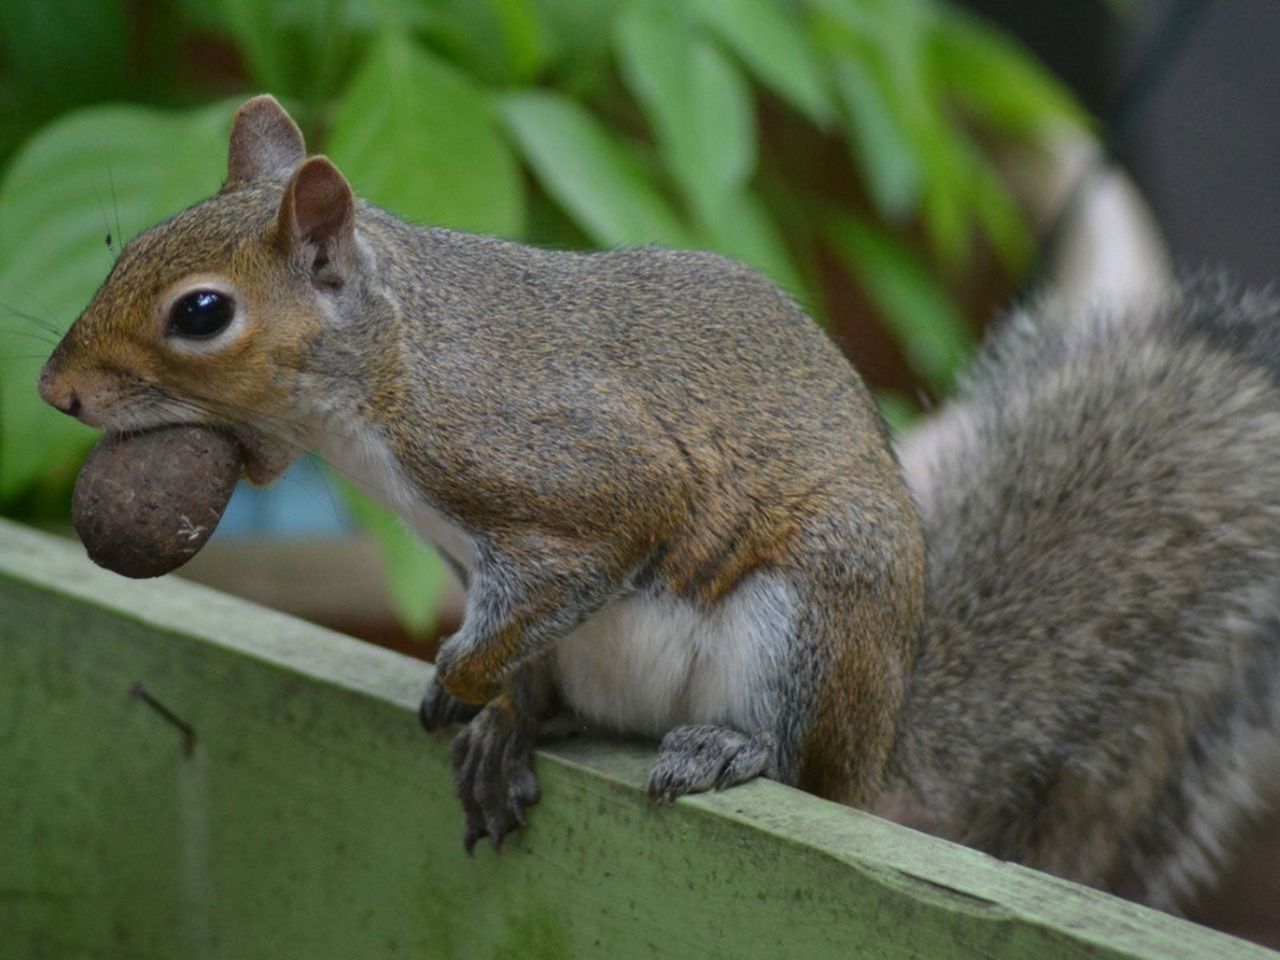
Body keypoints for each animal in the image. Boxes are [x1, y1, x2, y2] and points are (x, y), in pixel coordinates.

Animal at [35, 97, 1280, 916]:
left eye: (202, 313)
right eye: (129, 249)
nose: (56, 391)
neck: (390, 366)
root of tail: (878, 758)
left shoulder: (576, 474)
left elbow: (580, 559)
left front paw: (459, 683)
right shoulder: (466, 556)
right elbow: (515, 629)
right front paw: (490, 707)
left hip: (807, 614)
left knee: (785, 749)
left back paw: (726, 748)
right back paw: (520, 735)